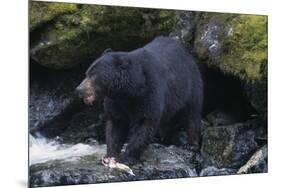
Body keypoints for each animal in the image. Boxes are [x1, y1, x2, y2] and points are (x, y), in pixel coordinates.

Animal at [76, 36, 202, 164]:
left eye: (94, 75)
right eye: (86, 73)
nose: (79, 90)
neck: (129, 90)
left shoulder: (149, 92)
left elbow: (144, 123)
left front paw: (128, 157)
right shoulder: (116, 101)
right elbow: (115, 124)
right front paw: (110, 155)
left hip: (190, 86)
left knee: (191, 115)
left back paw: (191, 144)